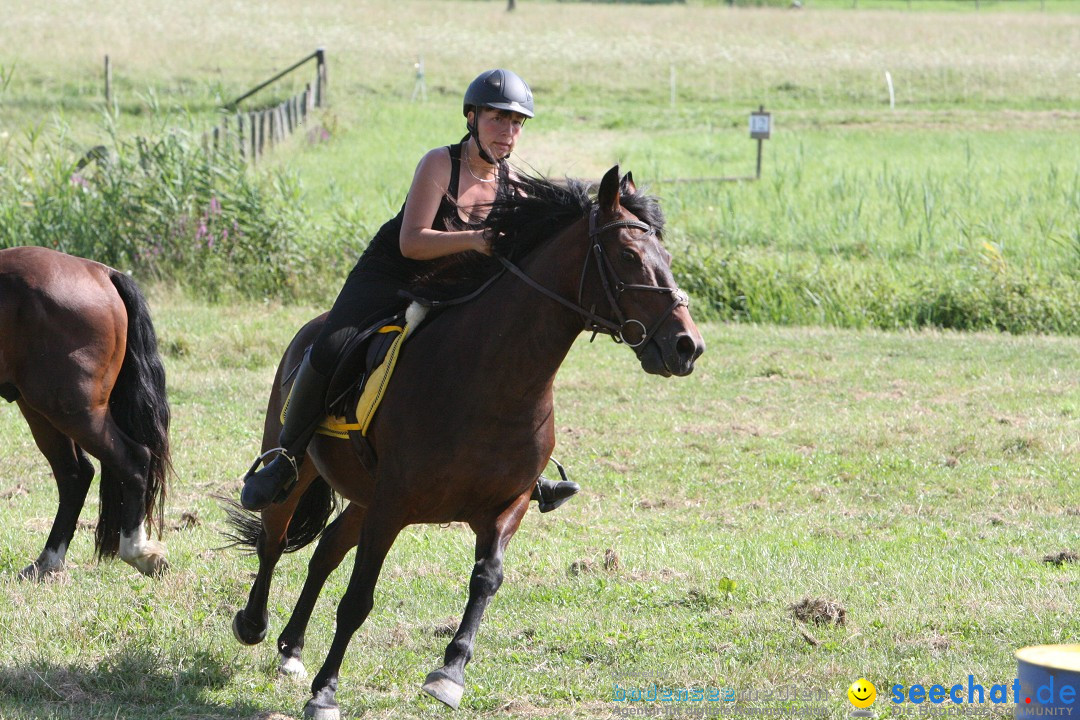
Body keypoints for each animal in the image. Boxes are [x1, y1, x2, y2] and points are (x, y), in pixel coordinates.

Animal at [0, 248, 169, 578]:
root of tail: (102, 272)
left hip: (72, 412)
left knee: (132, 459)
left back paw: (139, 552)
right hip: (43, 412)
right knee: (75, 474)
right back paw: (47, 562)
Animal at [228, 165, 704, 720]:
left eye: (665, 256)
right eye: (628, 256)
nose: (687, 346)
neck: (494, 381)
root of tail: (311, 328)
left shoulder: (504, 504)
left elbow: (486, 579)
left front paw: (449, 674)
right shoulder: (394, 503)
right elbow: (358, 599)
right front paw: (326, 692)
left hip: (366, 498)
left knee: (325, 550)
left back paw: (293, 648)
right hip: (303, 467)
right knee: (274, 537)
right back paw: (253, 624)